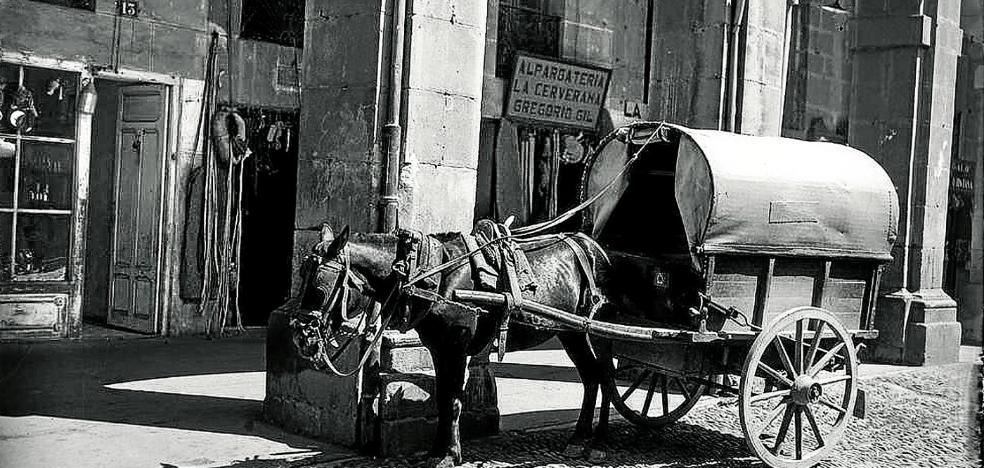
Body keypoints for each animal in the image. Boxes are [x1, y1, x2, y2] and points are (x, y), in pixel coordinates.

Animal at [290, 225, 616, 466]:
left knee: (604, 377)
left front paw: (449, 454)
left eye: (319, 288)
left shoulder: (456, 347)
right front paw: (439, 450)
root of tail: (593, 246)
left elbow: (454, 400)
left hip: (593, 332)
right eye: (302, 276)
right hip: (571, 333)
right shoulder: (438, 348)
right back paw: (580, 438)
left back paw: (598, 441)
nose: (300, 336)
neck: (429, 274)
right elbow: (444, 397)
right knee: (593, 377)